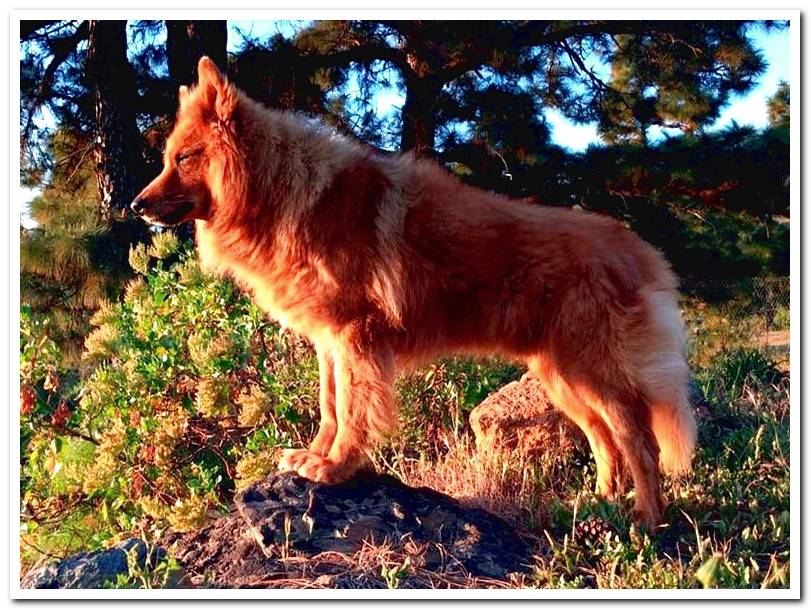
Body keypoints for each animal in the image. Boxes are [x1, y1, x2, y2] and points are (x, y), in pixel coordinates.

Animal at [133, 54, 696, 524]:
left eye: (183, 158)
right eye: (168, 158)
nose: (136, 206)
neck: (282, 193)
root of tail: (637, 248)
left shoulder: (357, 339)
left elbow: (353, 411)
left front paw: (337, 467)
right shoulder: (330, 344)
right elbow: (330, 406)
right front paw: (316, 455)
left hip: (592, 372)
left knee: (639, 442)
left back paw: (646, 521)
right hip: (562, 377)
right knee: (605, 442)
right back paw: (599, 505)